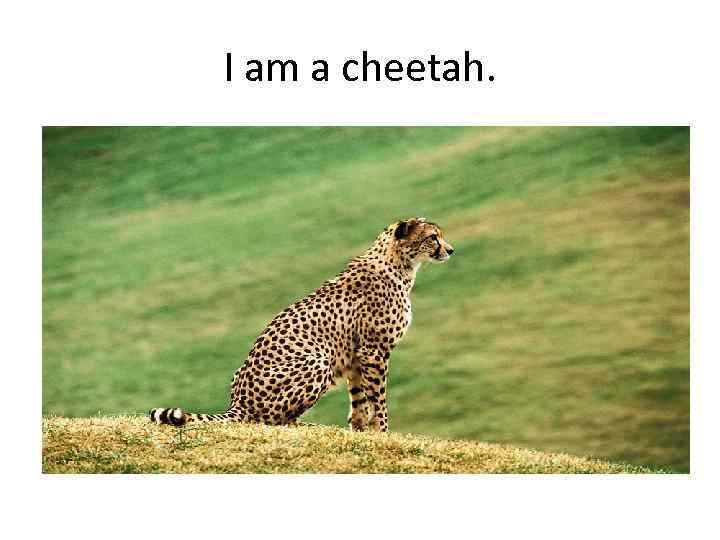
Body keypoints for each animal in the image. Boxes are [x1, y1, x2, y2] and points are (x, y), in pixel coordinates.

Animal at [150, 217, 454, 432]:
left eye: (440, 236)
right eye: (432, 237)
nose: (451, 250)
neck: (397, 263)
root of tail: (237, 402)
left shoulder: (356, 355)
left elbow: (359, 399)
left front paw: (359, 430)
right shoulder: (373, 351)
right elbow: (378, 399)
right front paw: (382, 431)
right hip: (318, 361)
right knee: (270, 421)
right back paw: (304, 424)